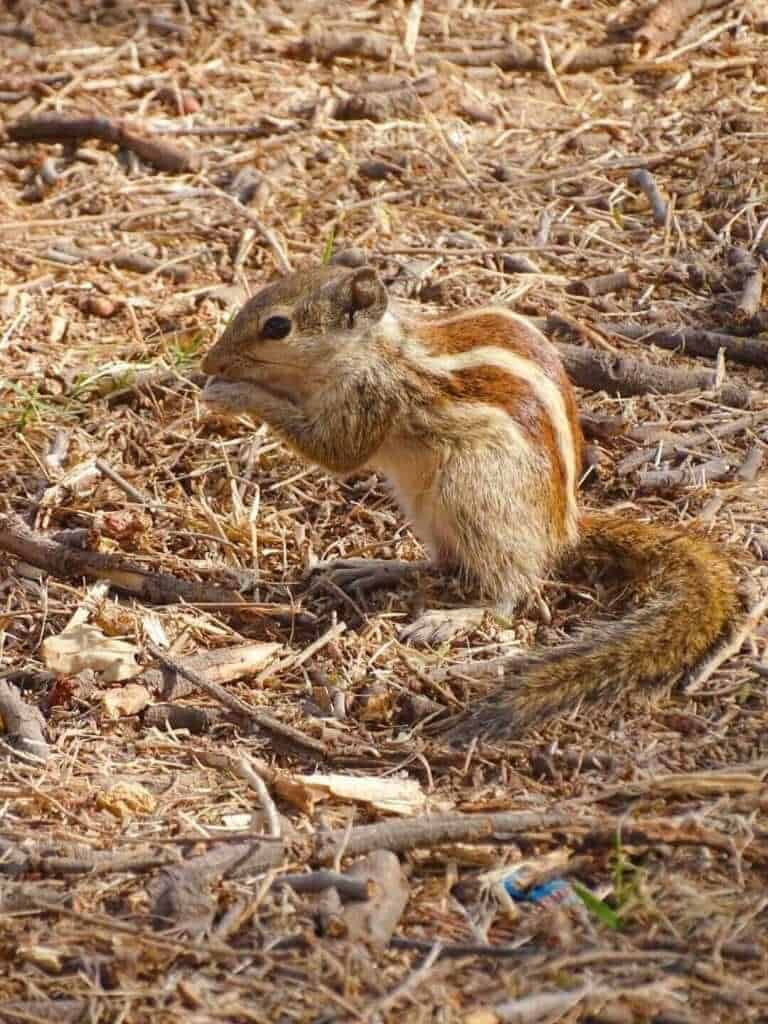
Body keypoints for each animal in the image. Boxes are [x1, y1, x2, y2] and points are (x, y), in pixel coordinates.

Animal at [201, 264, 741, 745]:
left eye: (277, 327)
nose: (209, 364)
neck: (378, 351)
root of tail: (564, 526)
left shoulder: (370, 400)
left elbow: (336, 451)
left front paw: (233, 392)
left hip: (478, 498)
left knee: (509, 593)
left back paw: (452, 618)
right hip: (425, 506)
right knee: (441, 561)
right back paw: (370, 568)